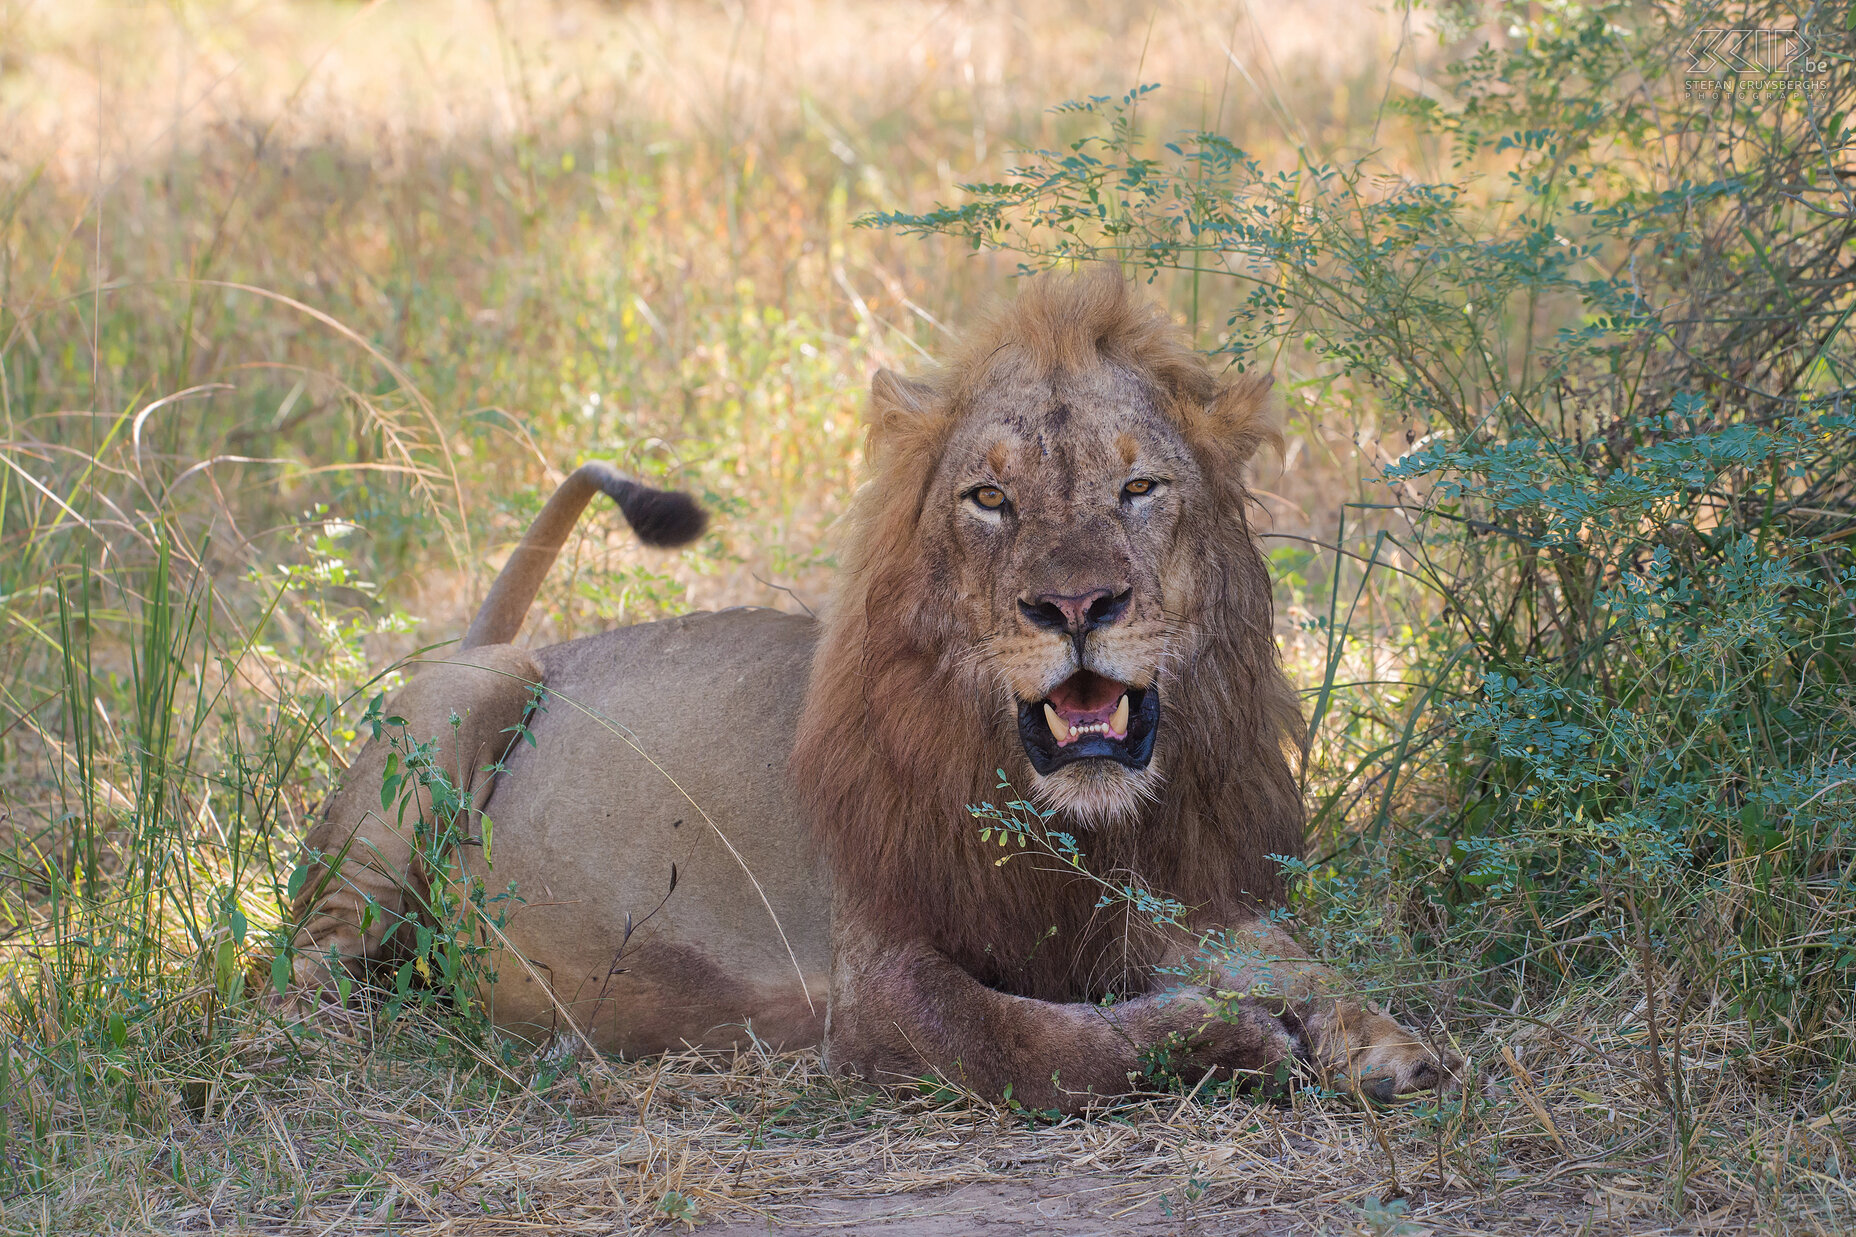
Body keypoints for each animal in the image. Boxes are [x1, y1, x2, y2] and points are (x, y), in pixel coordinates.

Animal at [282, 269, 1455, 1106]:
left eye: (1138, 487)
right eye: (988, 498)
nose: (1076, 604)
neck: (1067, 816)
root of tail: (505, 639)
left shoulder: (1175, 893)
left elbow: (1294, 959)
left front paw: (1384, 1039)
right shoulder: (876, 982)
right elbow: (1028, 1043)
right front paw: (1229, 1039)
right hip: (452, 716)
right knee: (300, 968)